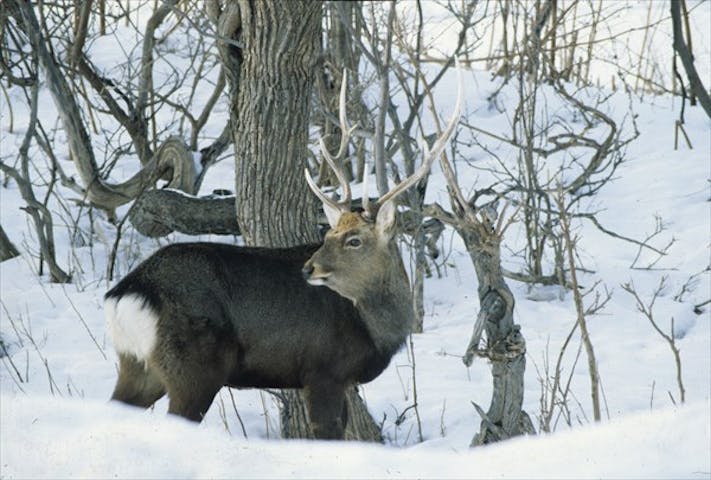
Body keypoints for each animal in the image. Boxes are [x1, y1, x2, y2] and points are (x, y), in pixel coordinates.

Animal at [104, 69, 462, 440]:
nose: (309, 268)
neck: (375, 325)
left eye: (353, 240)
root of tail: (127, 294)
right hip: (193, 368)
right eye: (331, 234)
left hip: (137, 365)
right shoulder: (322, 371)